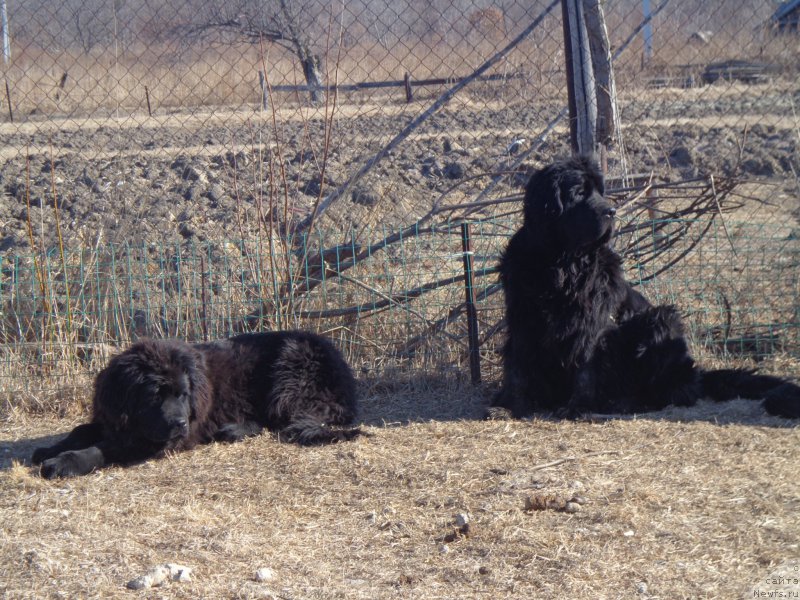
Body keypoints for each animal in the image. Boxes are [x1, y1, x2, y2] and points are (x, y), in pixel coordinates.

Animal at [32, 332, 362, 478]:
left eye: (183, 394)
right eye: (155, 396)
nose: (180, 423)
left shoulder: (155, 442)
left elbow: (103, 448)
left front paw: (65, 462)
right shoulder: (112, 418)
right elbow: (81, 430)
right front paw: (48, 449)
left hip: (289, 370)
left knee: (279, 421)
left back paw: (234, 430)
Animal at [488, 156, 800, 418]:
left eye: (600, 191)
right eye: (579, 193)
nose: (611, 211)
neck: (561, 263)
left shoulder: (592, 323)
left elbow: (586, 365)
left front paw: (578, 407)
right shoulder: (523, 317)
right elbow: (517, 367)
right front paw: (511, 405)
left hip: (661, 320)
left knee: (677, 391)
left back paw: (629, 402)